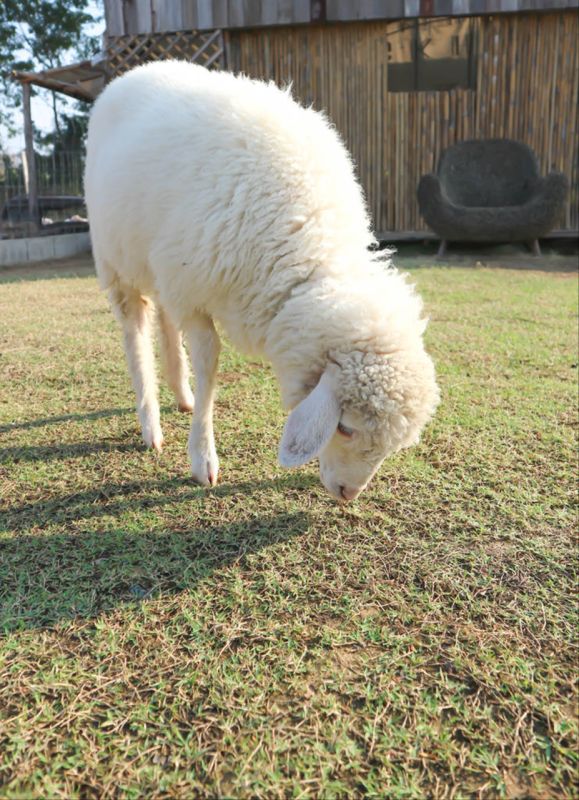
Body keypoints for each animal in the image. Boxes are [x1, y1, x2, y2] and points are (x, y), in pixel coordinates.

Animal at [84, 61, 440, 500]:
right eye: (344, 427)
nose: (348, 494)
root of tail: (135, 70)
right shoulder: (193, 289)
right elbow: (209, 364)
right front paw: (203, 457)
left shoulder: (181, 281)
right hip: (116, 262)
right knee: (135, 336)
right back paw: (151, 423)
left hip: (158, 265)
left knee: (165, 321)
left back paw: (181, 395)